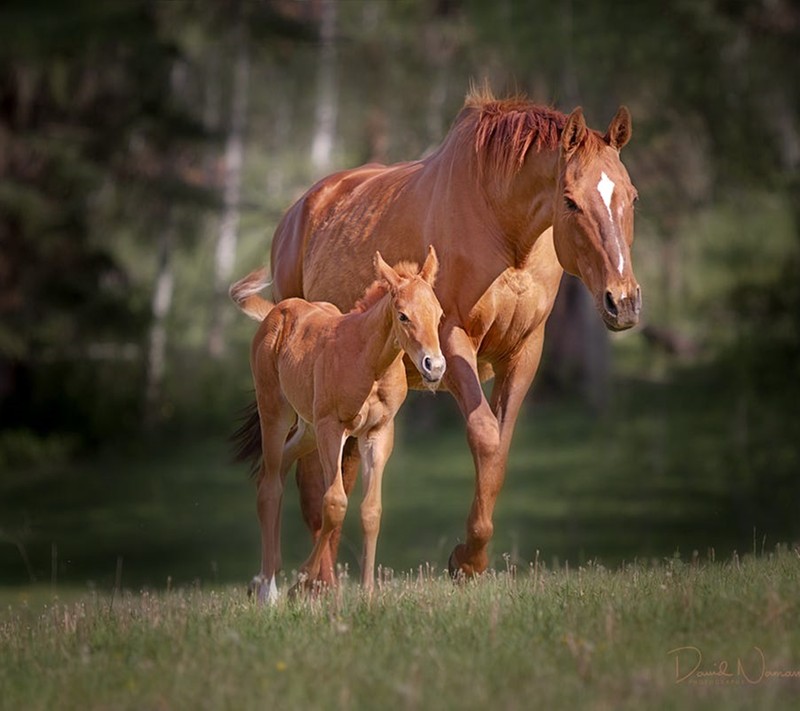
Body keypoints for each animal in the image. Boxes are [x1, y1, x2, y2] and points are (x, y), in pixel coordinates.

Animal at [230, 248, 444, 604]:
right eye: (403, 316)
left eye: (439, 316)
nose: (435, 367)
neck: (369, 363)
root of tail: (277, 311)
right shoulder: (333, 428)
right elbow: (335, 503)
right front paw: (301, 582)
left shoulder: (378, 433)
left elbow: (371, 511)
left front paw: (368, 593)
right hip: (277, 412)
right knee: (270, 486)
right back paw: (268, 589)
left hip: (308, 428)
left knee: (276, 469)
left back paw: (262, 578)